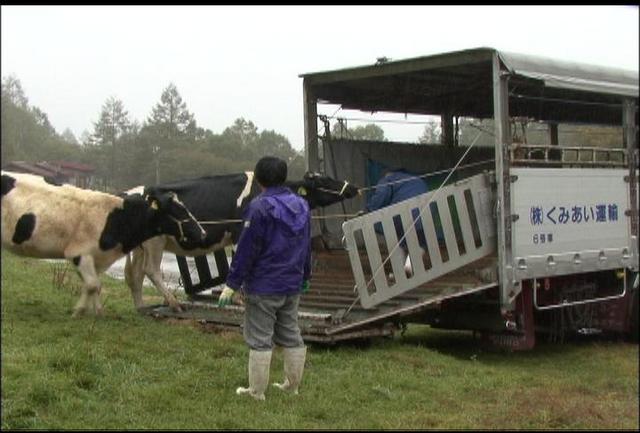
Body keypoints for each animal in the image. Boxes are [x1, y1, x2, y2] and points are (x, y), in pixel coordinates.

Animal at [1, 170, 206, 316]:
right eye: (178, 210)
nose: (202, 232)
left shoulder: (95, 258)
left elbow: (94, 285)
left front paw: (97, 311)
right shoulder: (79, 253)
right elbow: (92, 285)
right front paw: (79, 311)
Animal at [122, 171, 358, 310]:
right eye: (324, 179)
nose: (353, 187)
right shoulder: (241, 231)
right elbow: (240, 264)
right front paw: (238, 298)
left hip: (142, 246)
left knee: (136, 274)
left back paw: (141, 306)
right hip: (155, 242)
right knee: (150, 270)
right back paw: (172, 301)